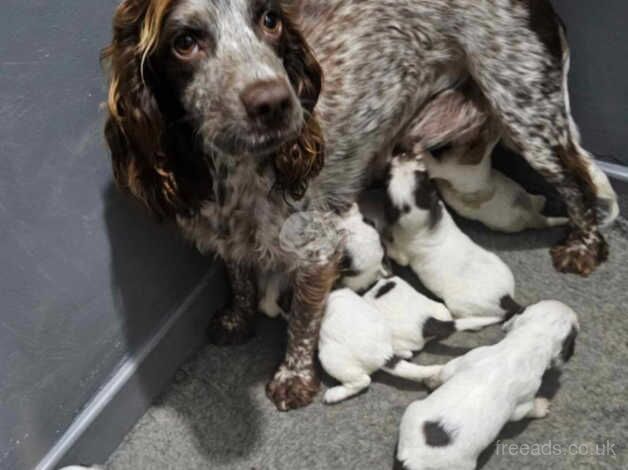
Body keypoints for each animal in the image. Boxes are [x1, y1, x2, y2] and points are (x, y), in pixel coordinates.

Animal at [386, 158, 524, 320]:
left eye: (390, 181)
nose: (398, 157)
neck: (431, 218)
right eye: (419, 175)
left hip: (459, 306)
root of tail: (506, 298)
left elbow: (393, 249)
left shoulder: (402, 253)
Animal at [398, 302, 580, 470]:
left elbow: (446, 371)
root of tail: (413, 460)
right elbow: (528, 409)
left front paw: (432, 380)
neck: (528, 339)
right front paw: (541, 406)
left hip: (412, 411)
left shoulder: (466, 359)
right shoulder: (523, 403)